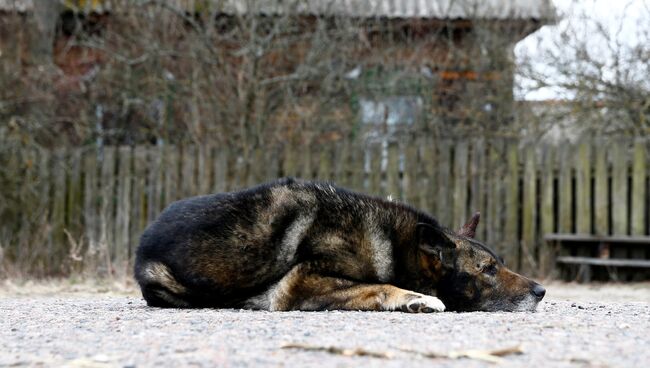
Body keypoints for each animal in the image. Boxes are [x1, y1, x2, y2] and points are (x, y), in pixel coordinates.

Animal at [134, 178, 544, 314]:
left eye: (500, 263)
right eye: (488, 270)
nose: (541, 291)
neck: (395, 245)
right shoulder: (303, 282)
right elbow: (379, 285)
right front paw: (416, 298)